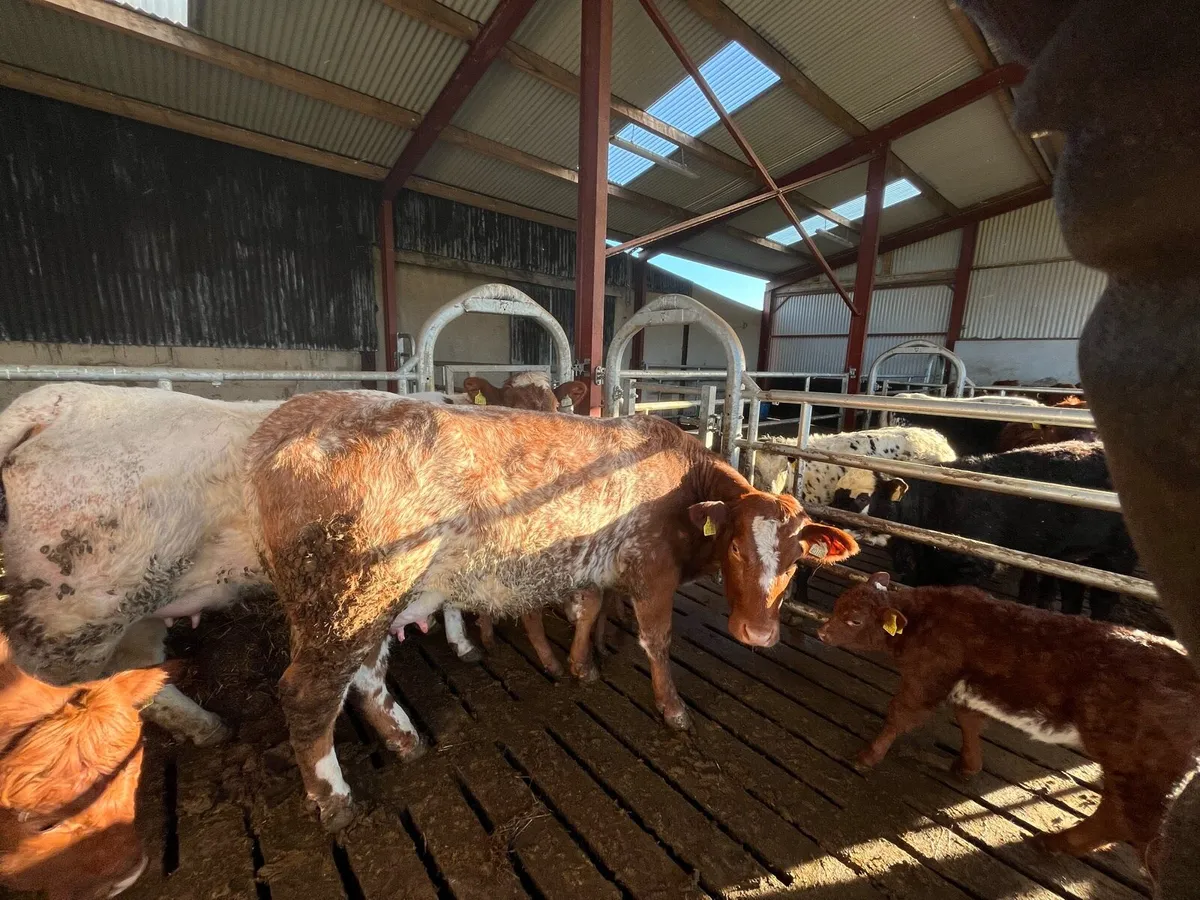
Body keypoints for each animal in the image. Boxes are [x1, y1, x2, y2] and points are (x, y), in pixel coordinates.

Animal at [244, 390, 859, 831]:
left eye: (798, 559)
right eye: (735, 547)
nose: (758, 634)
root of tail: (287, 417)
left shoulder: (597, 564)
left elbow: (589, 610)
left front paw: (584, 664)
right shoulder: (651, 571)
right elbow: (657, 641)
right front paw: (673, 708)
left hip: (368, 603)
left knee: (368, 675)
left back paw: (404, 740)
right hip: (349, 599)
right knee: (309, 693)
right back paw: (334, 798)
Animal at [817, 573, 1200, 878]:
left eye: (854, 620)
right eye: (838, 604)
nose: (821, 631)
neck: (925, 619)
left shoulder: (925, 679)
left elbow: (899, 715)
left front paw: (868, 756)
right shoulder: (967, 689)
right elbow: (969, 721)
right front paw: (969, 766)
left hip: (1142, 767)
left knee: (1124, 819)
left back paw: (1058, 842)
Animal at [861, 441, 1135, 620]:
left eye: (872, 499)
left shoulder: (971, 566)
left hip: (1118, 556)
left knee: (1102, 600)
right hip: (1075, 559)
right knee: (1072, 594)